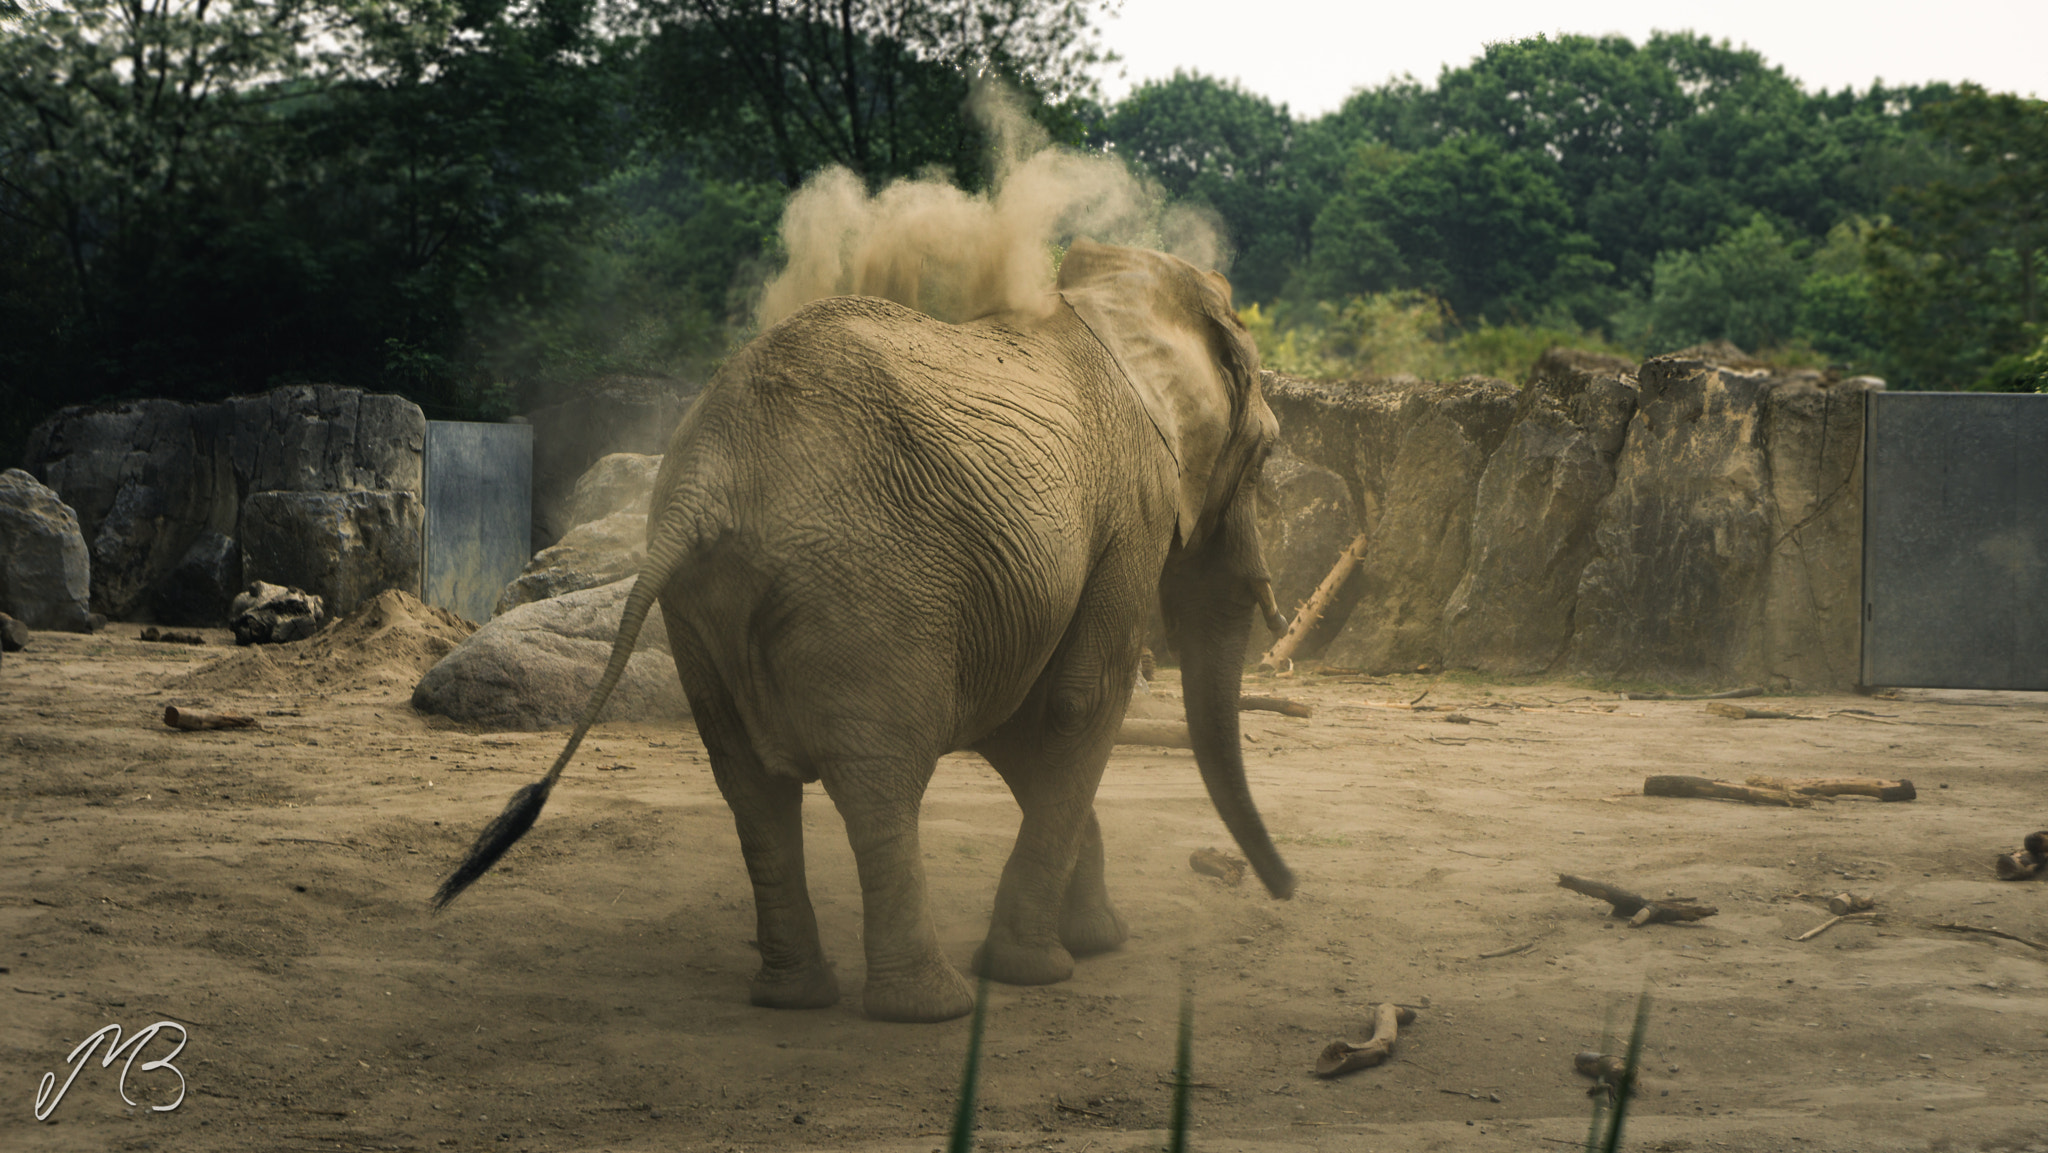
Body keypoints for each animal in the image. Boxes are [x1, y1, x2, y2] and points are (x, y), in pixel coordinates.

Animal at [435, 239, 1296, 1022]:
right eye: (1266, 453)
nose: (1285, 887)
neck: (1121, 286)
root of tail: (707, 478)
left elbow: (1021, 722)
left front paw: (1095, 939)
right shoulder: (1136, 504)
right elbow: (1079, 704)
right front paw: (1042, 969)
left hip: (709, 613)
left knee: (752, 787)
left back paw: (792, 996)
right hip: (871, 587)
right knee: (879, 782)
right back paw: (930, 1008)